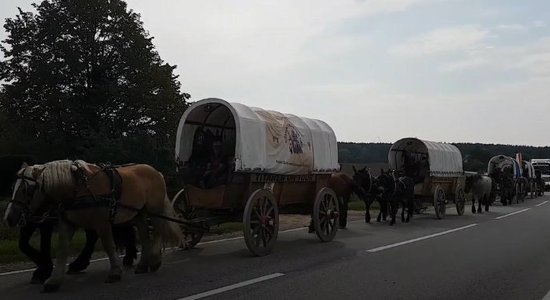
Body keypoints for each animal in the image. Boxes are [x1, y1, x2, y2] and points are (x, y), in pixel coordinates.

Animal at [5, 161, 182, 292]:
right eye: (13, 186)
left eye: (26, 189)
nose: (9, 217)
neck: (77, 188)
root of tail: (156, 172)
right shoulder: (67, 224)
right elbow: (62, 250)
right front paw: (53, 280)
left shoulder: (102, 223)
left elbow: (109, 245)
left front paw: (115, 272)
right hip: (138, 213)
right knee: (144, 235)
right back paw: (142, 265)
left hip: (154, 210)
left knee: (157, 232)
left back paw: (155, 261)